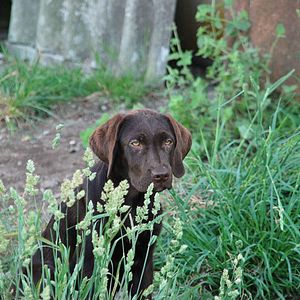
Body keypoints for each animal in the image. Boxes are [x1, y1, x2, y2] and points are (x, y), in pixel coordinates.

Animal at [24, 109, 191, 298]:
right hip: (45, 269)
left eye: (168, 142)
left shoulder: (144, 258)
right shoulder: (89, 263)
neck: (131, 204)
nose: (161, 175)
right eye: (135, 143)